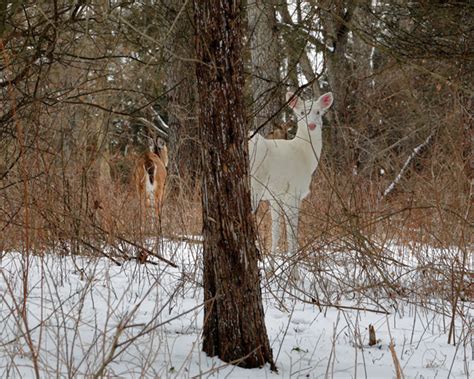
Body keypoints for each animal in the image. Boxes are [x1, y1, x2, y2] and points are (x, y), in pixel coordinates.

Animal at [248, 92, 334, 256]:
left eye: (318, 112)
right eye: (302, 113)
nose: (311, 125)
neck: (304, 155)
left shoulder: (275, 196)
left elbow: (275, 231)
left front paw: (273, 259)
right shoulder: (293, 192)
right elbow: (292, 232)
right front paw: (292, 258)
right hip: (254, 184)